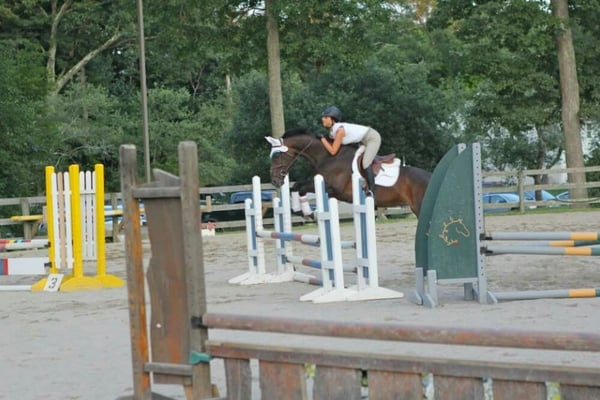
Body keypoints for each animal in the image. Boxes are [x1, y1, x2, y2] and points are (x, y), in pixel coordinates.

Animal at [268, 128, 432, 217]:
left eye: (276, 156)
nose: (275, 180)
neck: (328, 156)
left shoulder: (334, 189)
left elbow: (300, 187)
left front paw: (307, 212)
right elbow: (296, 186)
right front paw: (300, 211)